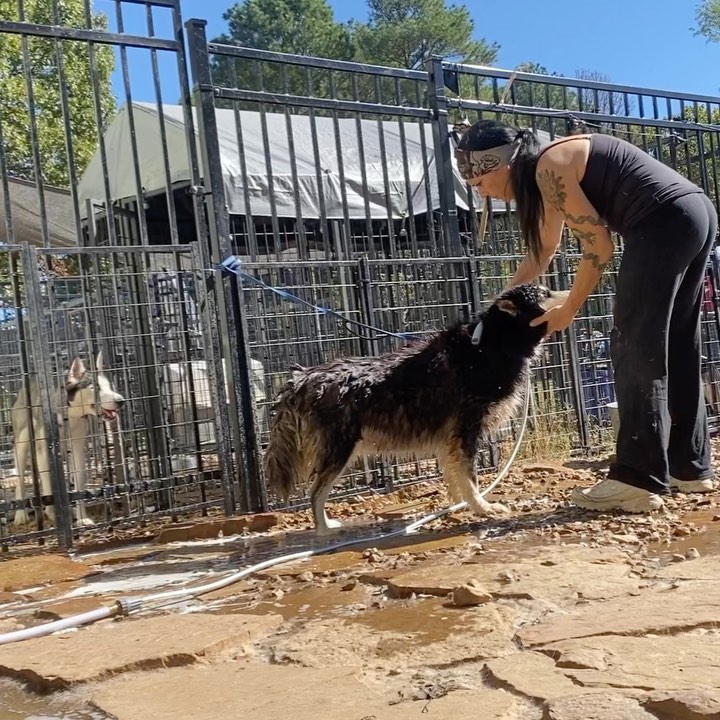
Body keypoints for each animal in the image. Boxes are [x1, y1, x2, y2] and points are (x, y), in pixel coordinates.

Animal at [11, 354, 125, 528]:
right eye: (95, 388)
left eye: (109, 386)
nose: (121, 400)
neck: (69, 416)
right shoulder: (43, 451)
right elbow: (48, 482)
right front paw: (52, 512)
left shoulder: (77, 449)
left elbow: (79, 483)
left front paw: (82, 517)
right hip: (22, 445)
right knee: (21, 479)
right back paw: (20, 514)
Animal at [264, 282, 568, 536]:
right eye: (546, 293)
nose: (571, 291)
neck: (491, 345)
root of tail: (303, 378)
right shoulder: (467, 429)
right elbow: (470, 478)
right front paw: (482, 508)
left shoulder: (451, 439)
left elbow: (455, 476)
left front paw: (459, 505)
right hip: (339, 452)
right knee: (316, 494)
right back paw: (324, 529)